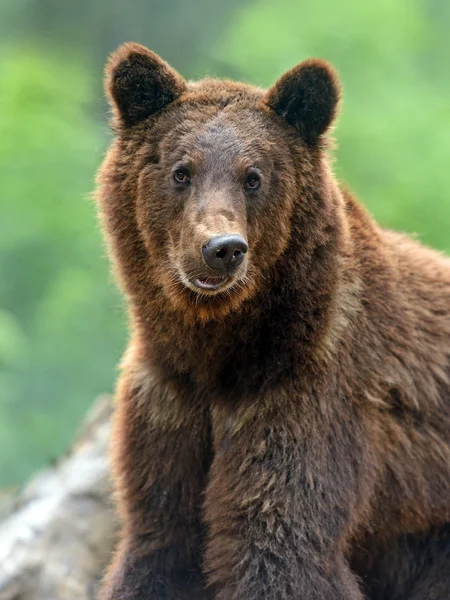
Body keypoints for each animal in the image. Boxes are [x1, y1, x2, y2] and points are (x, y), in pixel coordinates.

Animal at [96, 43, 450, 600]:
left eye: (254, 175)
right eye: (181, 170)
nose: (222, 249)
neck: (222, 353)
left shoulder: (304, 392)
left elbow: (277, 543)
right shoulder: (169, 398)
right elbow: (161, 536)